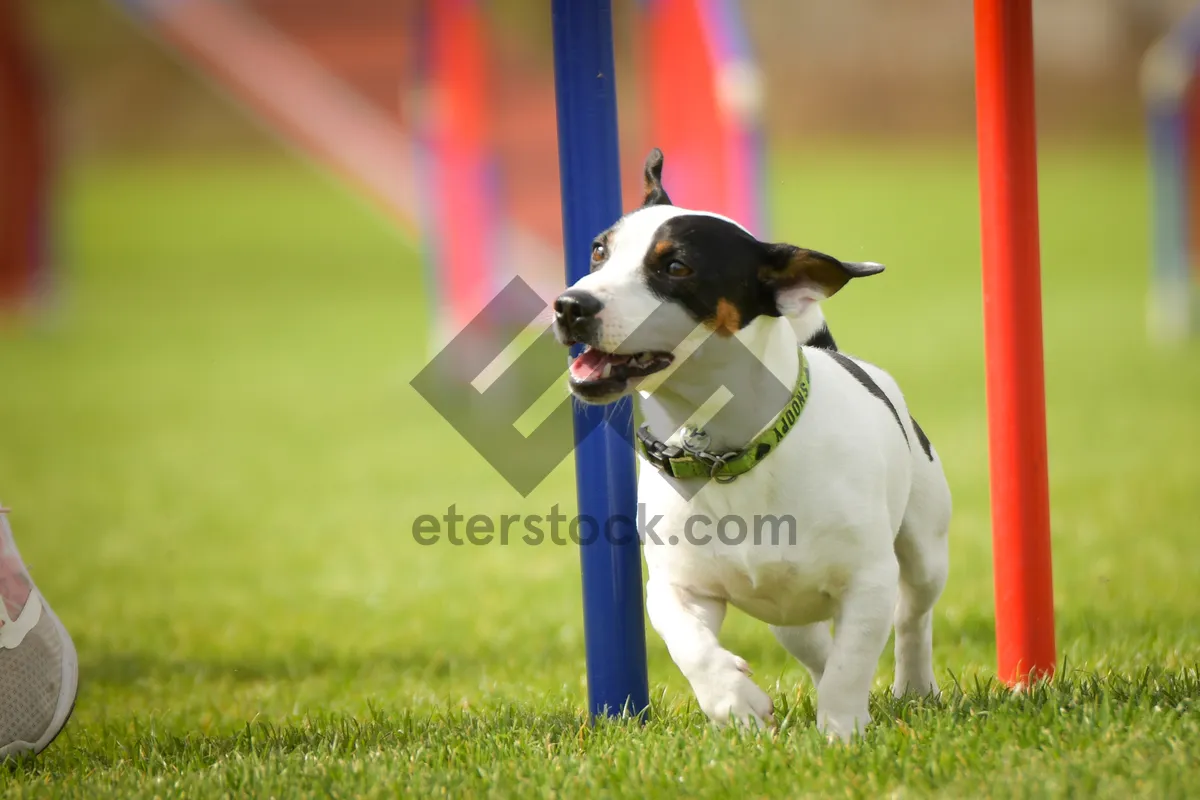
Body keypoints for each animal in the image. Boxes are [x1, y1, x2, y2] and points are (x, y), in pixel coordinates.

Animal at [549, 148, 950, 738]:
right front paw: (735, 702)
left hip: (924, 547)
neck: (730, 454)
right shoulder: (679, 585)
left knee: (912, 616)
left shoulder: (869, 580)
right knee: (810, 643)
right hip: (786, 610)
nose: (570, 305)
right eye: (599, 251)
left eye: (676, 266)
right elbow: (687, 641)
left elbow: (854, 662)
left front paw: (841, 731)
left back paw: (914, 687)